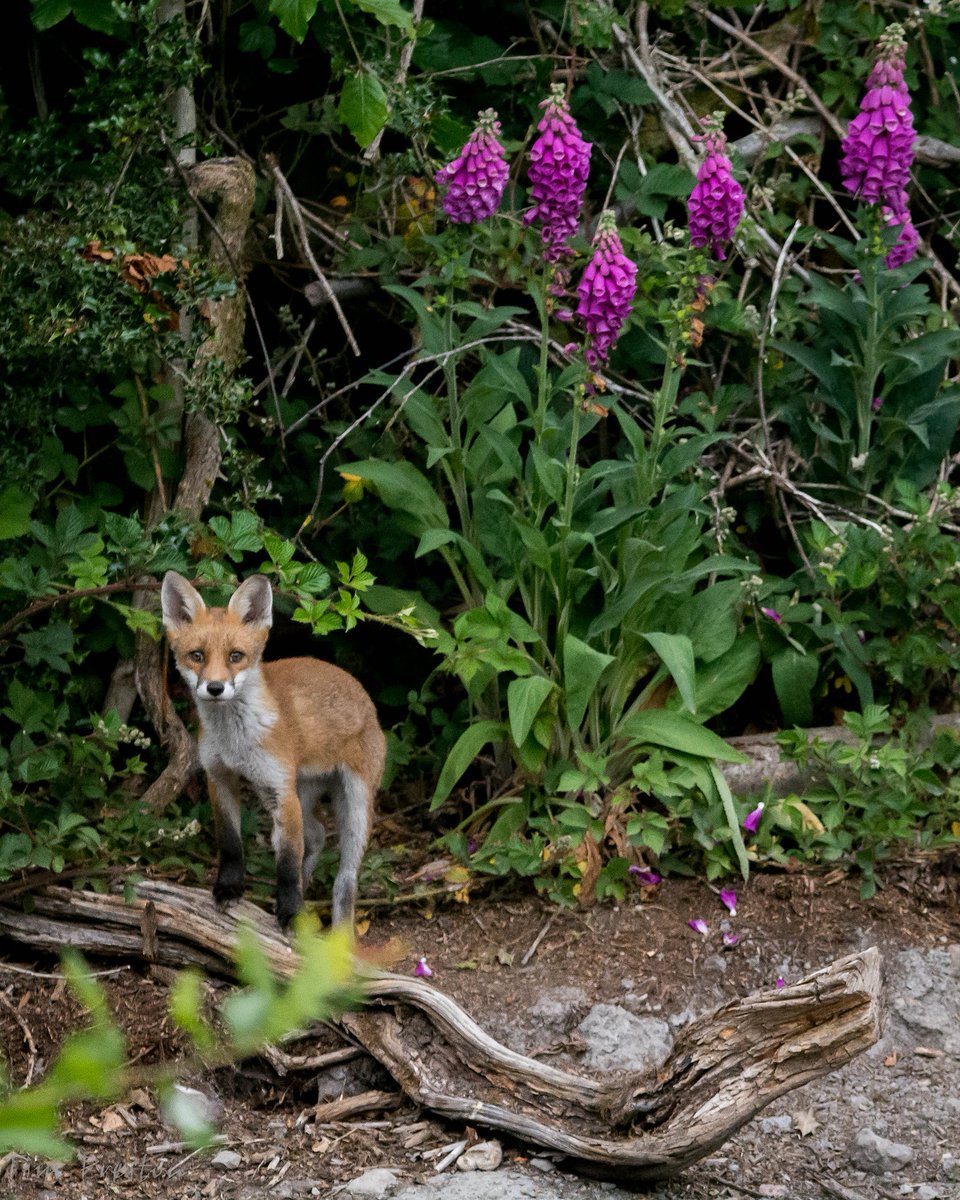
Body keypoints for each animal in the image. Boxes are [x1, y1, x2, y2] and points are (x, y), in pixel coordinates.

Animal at [160, 571, 386, 931]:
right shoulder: (220, 777)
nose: (215, 688)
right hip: (298, 792)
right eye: (197, 655)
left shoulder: (280, 790)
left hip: (353, 804)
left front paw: (291, 911)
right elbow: (231, 844)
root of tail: (361, 692)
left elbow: (288, 864)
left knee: (346, 877)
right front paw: (229, 888)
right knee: (317, 835)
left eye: (235, 656)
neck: (236, 741)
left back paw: (338, 930)